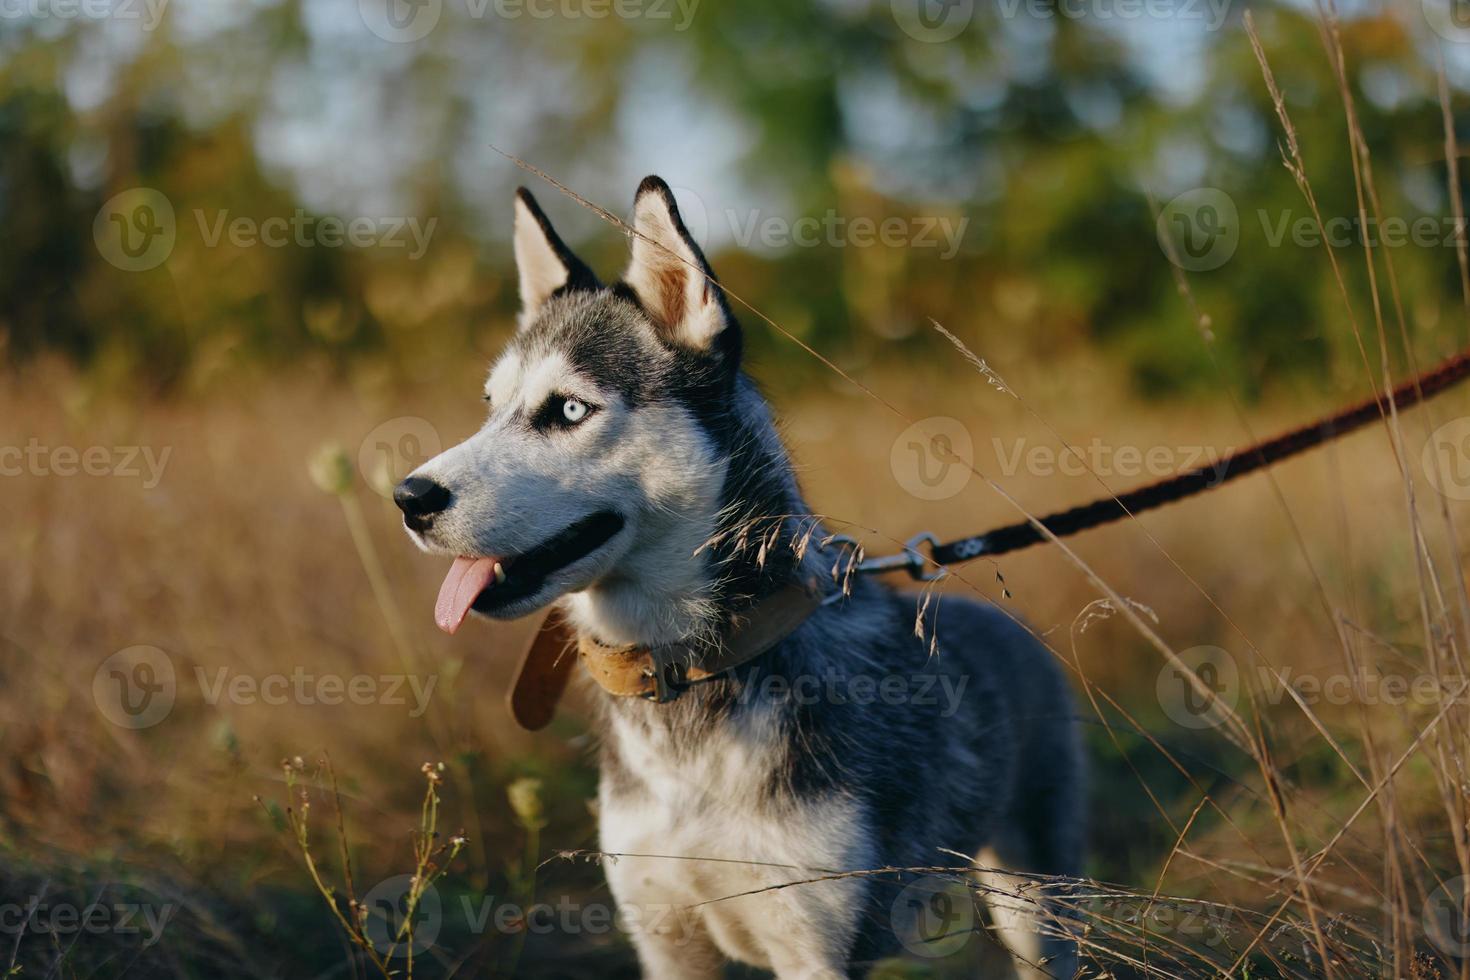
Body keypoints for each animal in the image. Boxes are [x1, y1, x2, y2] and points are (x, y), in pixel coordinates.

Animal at [396, 178, 1087, 980]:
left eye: (568, 409)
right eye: (491, 407)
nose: (407, 498)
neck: (691, 672)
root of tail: (1008, 622)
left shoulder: (816, 947)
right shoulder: (664, 939)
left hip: (1035, 904)